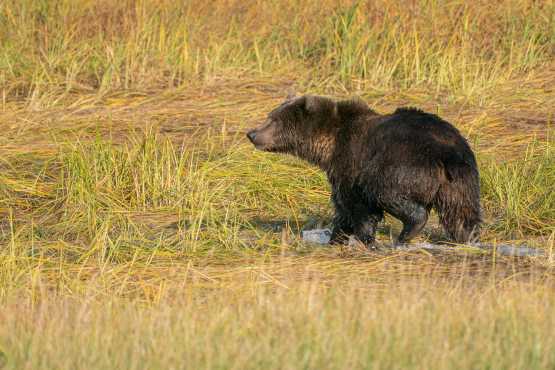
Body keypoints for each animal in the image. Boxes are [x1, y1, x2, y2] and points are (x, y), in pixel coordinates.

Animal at [248, 93, 482, 249]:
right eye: (270, 116)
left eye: (273, 120)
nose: (251, 133)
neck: (328, 145)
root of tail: (445, 152)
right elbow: (342, 211)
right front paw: (335, 239)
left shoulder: (350, 160)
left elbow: (358, 206)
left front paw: (363, 240)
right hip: (461, 180)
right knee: (462, 215)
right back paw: (469, 240)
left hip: (406, 162)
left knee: (379, 187)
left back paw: (407, 232)